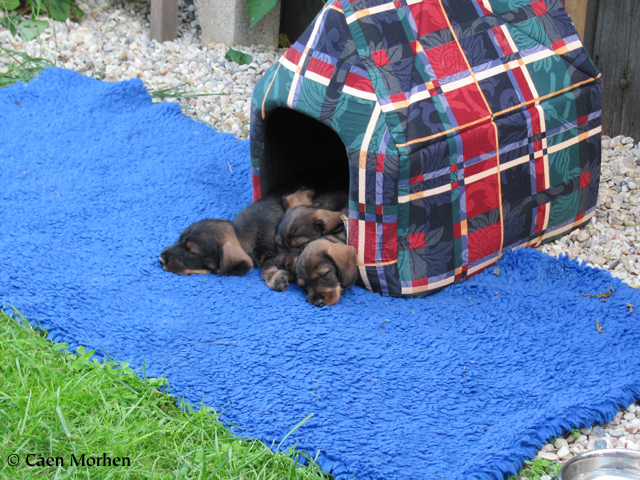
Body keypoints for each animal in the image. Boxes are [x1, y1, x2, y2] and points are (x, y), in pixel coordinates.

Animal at [160, 192, 290, 290]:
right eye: (179, 239)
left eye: (192, 251)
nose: (160, 259)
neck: (242, 233)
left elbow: (267, 263)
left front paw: (274, 277)